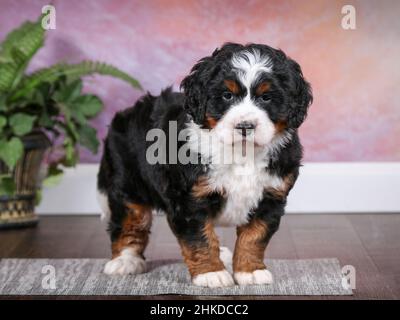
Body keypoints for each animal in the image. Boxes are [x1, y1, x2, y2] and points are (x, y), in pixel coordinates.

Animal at [97, 42, 312, 288]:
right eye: (227, 96)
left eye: (266, 97)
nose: (245, 126)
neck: (241, 152)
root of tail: (126, 113)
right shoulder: (190, 199)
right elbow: (199, 238)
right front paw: (211, 273)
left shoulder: (271, 197)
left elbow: (255, 236)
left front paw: (250, 271)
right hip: (128, 183)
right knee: (130, 220)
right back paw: (125, 260)